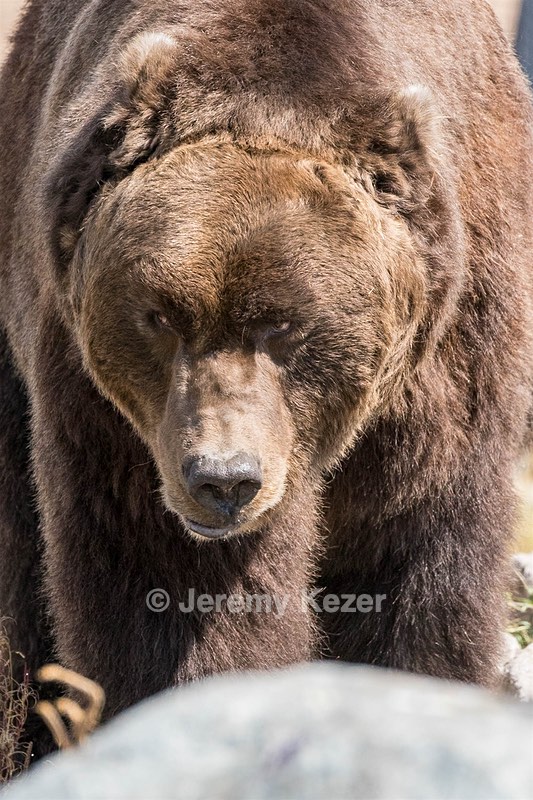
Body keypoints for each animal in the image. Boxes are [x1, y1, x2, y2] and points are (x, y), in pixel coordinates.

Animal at [0, 0, 532, 757]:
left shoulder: (445, 371)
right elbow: (173, 587)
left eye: (283, 322)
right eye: (161, 315)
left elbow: (414, 565)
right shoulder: (115, 421)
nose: (224, 480)